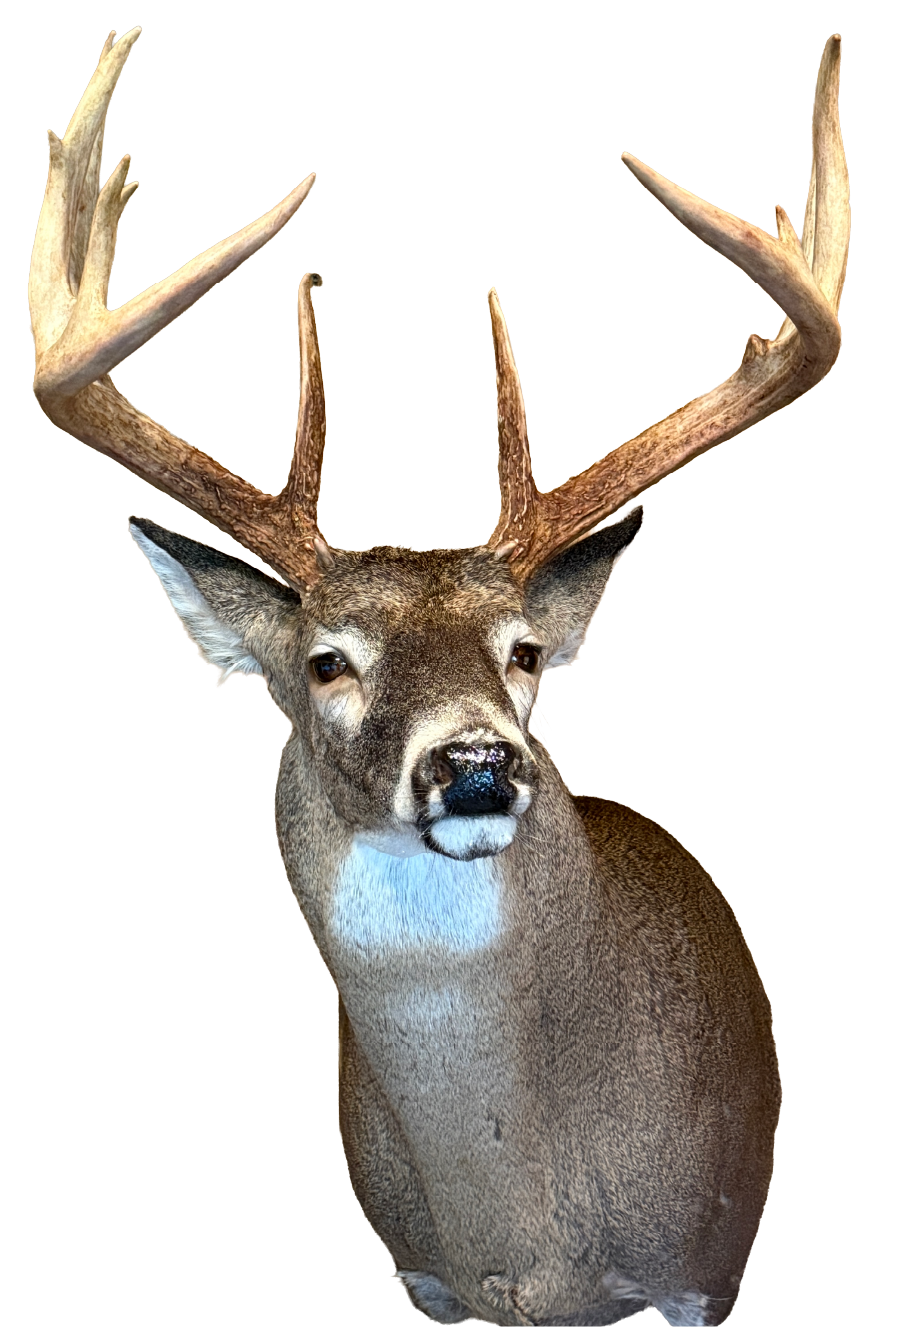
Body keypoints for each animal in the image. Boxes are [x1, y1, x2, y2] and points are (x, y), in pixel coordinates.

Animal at [30, 28, 849, 1327]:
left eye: (523, 650)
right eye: (327, 660)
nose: (474, 763)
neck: (528, 1227)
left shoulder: (706, 1264)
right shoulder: (426, 1275)